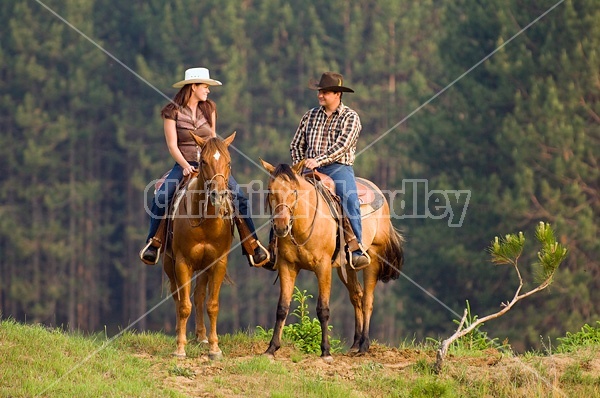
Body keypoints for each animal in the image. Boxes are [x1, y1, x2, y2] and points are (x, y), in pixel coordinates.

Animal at [165, 132, 238, 360]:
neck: (205, 222)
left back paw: (202, 336)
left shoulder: (217, 263)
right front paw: (180, 348)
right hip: (168, 264)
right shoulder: (182, 263)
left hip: (204, 268)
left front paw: (214, 348)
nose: (218, 194)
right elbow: (184, 305)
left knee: (198, 296)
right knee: (178, 296)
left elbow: (211, 305)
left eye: (229, 162)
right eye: (204, 161)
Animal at [260, 159, 406, 360]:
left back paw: (364, 346)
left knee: (367, 300)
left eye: (294, 191)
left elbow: (323, 309)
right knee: (357, 296)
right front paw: (271, 348)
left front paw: (326, 351)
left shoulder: (323, 267)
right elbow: (282, 307)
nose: (281, 226)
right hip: (346, 267)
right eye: (270, 190)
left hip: (374, 258)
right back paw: (355, 344)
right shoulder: (287, 266)